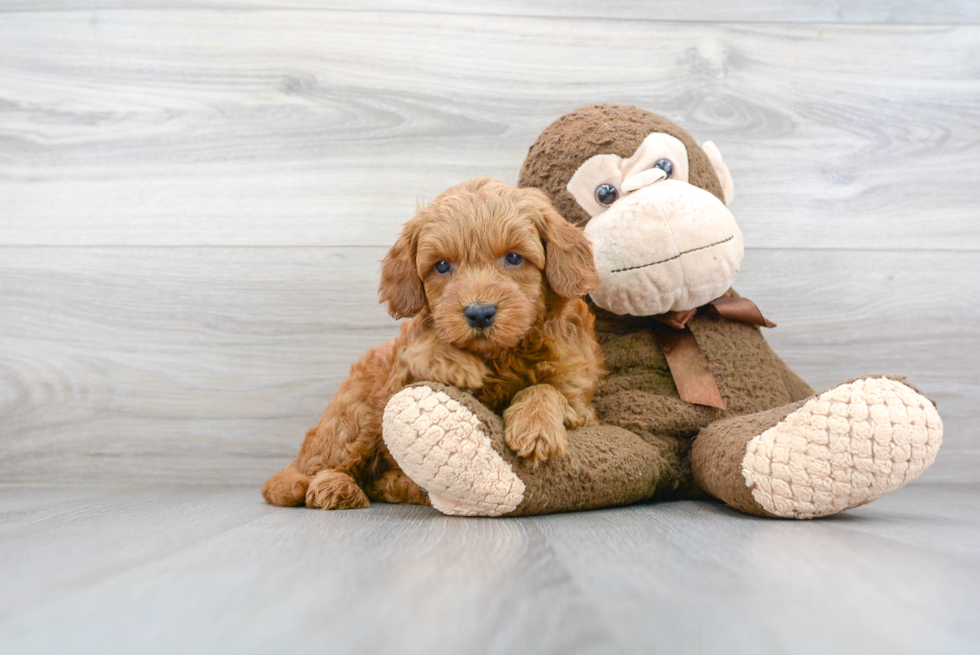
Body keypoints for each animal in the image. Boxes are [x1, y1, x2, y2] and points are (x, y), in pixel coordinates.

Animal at [260, 177, 600, 510]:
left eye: (514, 258)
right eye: (441, 266)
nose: (479, 313)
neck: (499, 354)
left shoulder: (578, 399)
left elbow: (547, 389)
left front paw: (536, 426)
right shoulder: (397, 380)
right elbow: (419, 350)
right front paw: (456, 364)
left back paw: (399, 485)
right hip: (354, 416)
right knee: (322, 466)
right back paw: (335, 488)